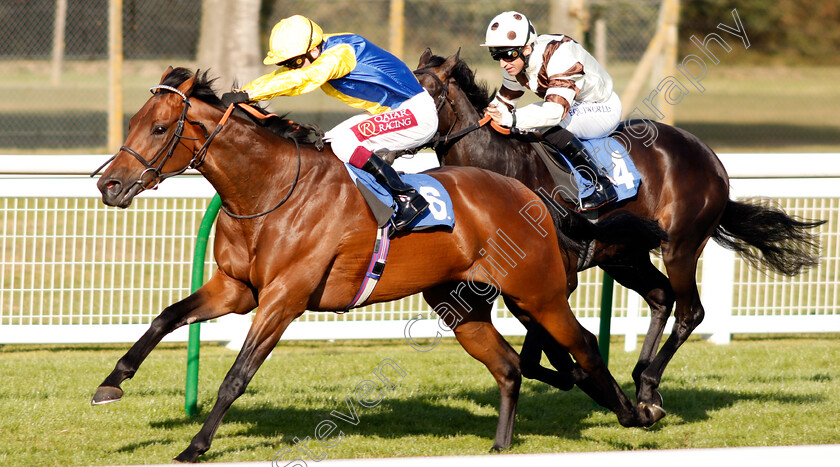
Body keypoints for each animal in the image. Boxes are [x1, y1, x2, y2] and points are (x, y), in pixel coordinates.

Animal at [92, 67, 668, 462]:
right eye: (135, 122)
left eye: (159, 128)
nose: (108, 184)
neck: (271, 190)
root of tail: (532, 196)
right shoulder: (236, 288)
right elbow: (165, 317)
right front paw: (112, 383)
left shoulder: (284, 297)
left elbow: (237, 375)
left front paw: (196, 445)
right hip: (461, 305)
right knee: (508, 365)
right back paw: (503, 444)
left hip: (538, 293)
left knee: (585, 346)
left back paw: (639, 411)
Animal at [410, 50, 824, 414]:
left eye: (425, 92)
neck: (502, 166)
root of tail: (712, 161)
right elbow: (535, 357)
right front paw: (585, 380)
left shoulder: (559, 277)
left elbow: (541, 349)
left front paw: (585, 379)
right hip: (624, 256)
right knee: (661, 296)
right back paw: (642, 381)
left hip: (681, 245)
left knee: (690, 311)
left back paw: (649, 384)